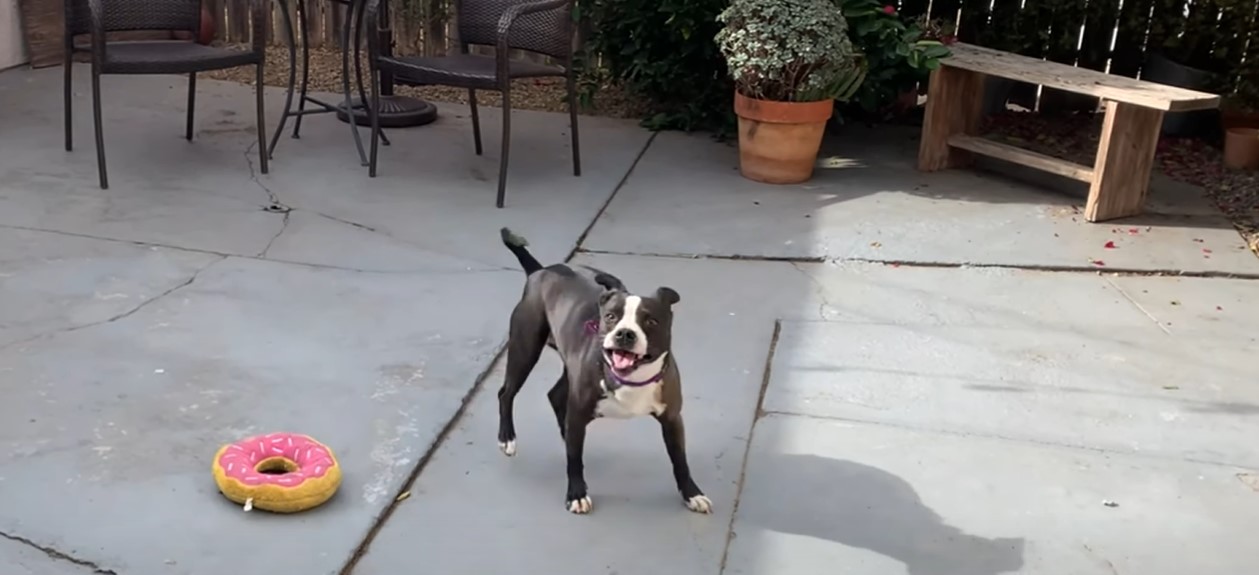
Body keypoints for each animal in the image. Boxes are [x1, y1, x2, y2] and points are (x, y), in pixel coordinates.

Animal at [493, 228, 710, 515]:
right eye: (610, 316)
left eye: (651, 321)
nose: (625, 333)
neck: (631, 379)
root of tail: (541, 271)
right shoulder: (579, 411)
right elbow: (574, 460)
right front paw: (576, 494)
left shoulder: (673, 419)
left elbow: (680, 460)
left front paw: (692, 493)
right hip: (524, 348)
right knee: (506, 393)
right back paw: (507, 438)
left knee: (556, 396)